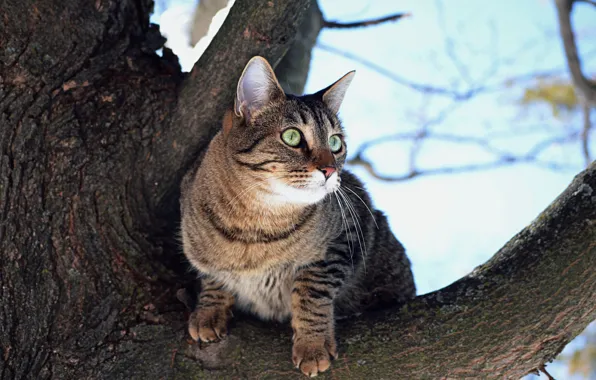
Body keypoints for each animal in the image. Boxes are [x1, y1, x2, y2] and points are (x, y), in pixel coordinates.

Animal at [179, 56, 416, 378]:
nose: (330, 170)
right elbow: (212, 277)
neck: (254, 226)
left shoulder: (346, 236)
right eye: (292, 137)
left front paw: (312, 345)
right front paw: (208, 310)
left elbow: (310, 292)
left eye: (335, 143)